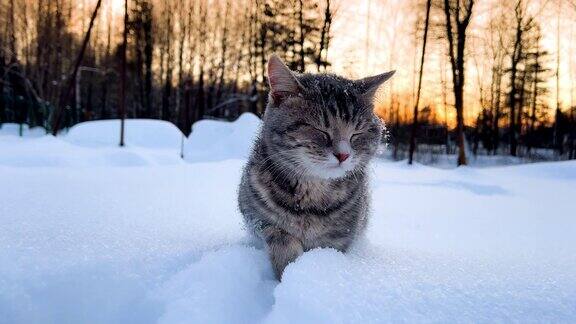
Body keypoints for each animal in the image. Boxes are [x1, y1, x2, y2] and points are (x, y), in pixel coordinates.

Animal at [236, 54, 394, 280]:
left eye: (357, 134)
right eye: (320, 130)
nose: (344, 154)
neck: (312, 197)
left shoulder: (341, 235)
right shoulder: (256, 216)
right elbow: (279, 237)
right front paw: (287, 270)